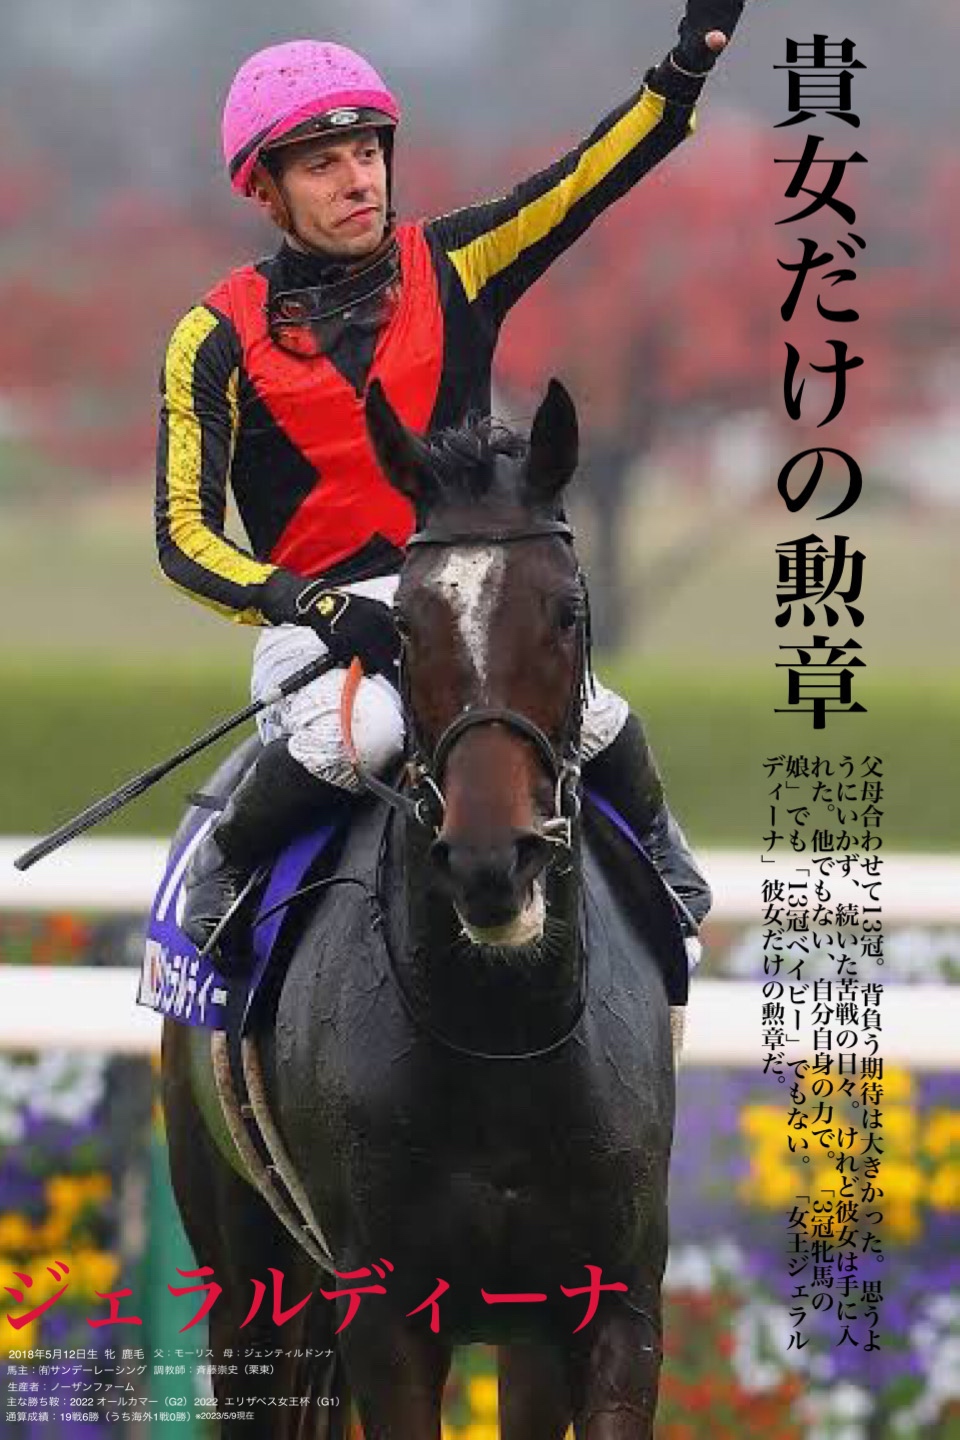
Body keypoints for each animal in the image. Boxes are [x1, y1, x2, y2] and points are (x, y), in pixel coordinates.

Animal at [161, 378, 678, 1438]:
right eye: (400, 625)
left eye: (568, 611)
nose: (492, 861)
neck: (503, 1038)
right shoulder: (383, 1313)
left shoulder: (617, 1302)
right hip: (242, 1278)